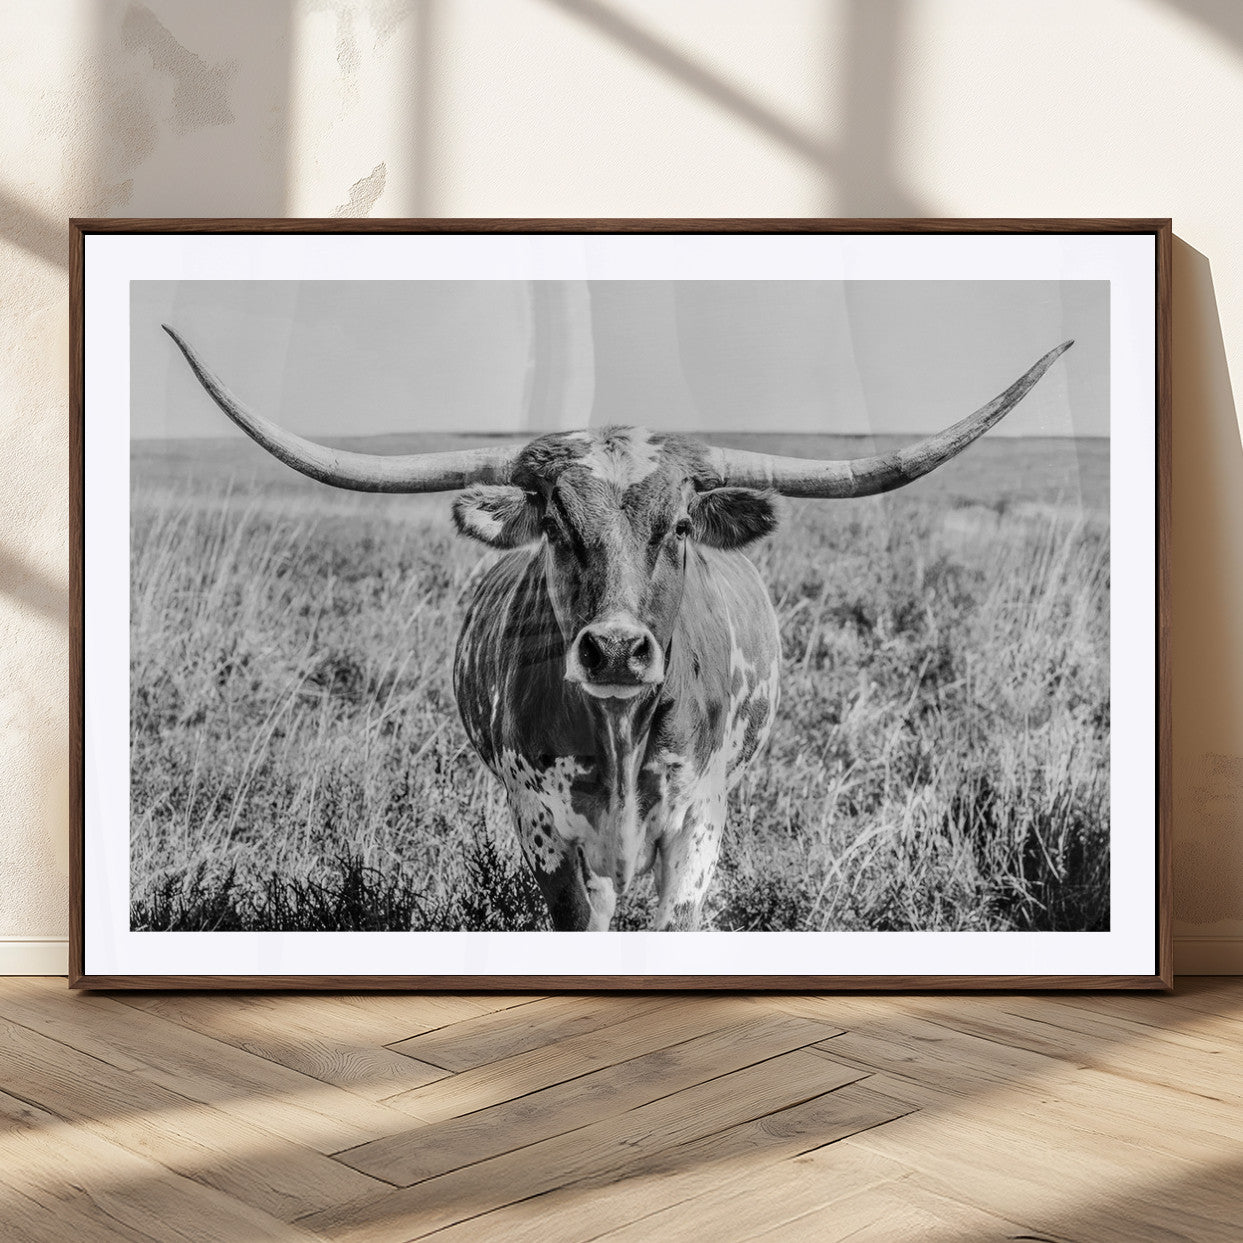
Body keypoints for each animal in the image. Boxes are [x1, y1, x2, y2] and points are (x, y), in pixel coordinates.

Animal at [164, 325, 1071, 931]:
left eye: (679, 524)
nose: (615, 648)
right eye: (556, 524)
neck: (620, 729)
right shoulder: (543, 826)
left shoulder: (699, 821)